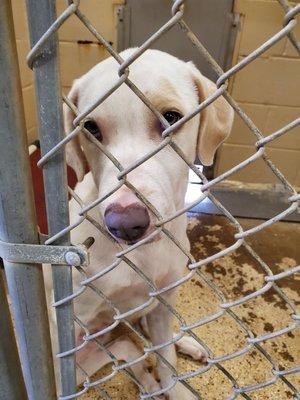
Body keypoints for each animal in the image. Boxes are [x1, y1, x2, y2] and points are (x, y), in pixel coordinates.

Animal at [46, 48, 234, 398]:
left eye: (171, 118)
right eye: (91, 128)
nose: (125, 225)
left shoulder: (162, 302)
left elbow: (166, 358)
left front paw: (175, 388)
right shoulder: (67, 320)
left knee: (144, 344)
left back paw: (182, 349)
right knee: (128, 350)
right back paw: (148, 382)